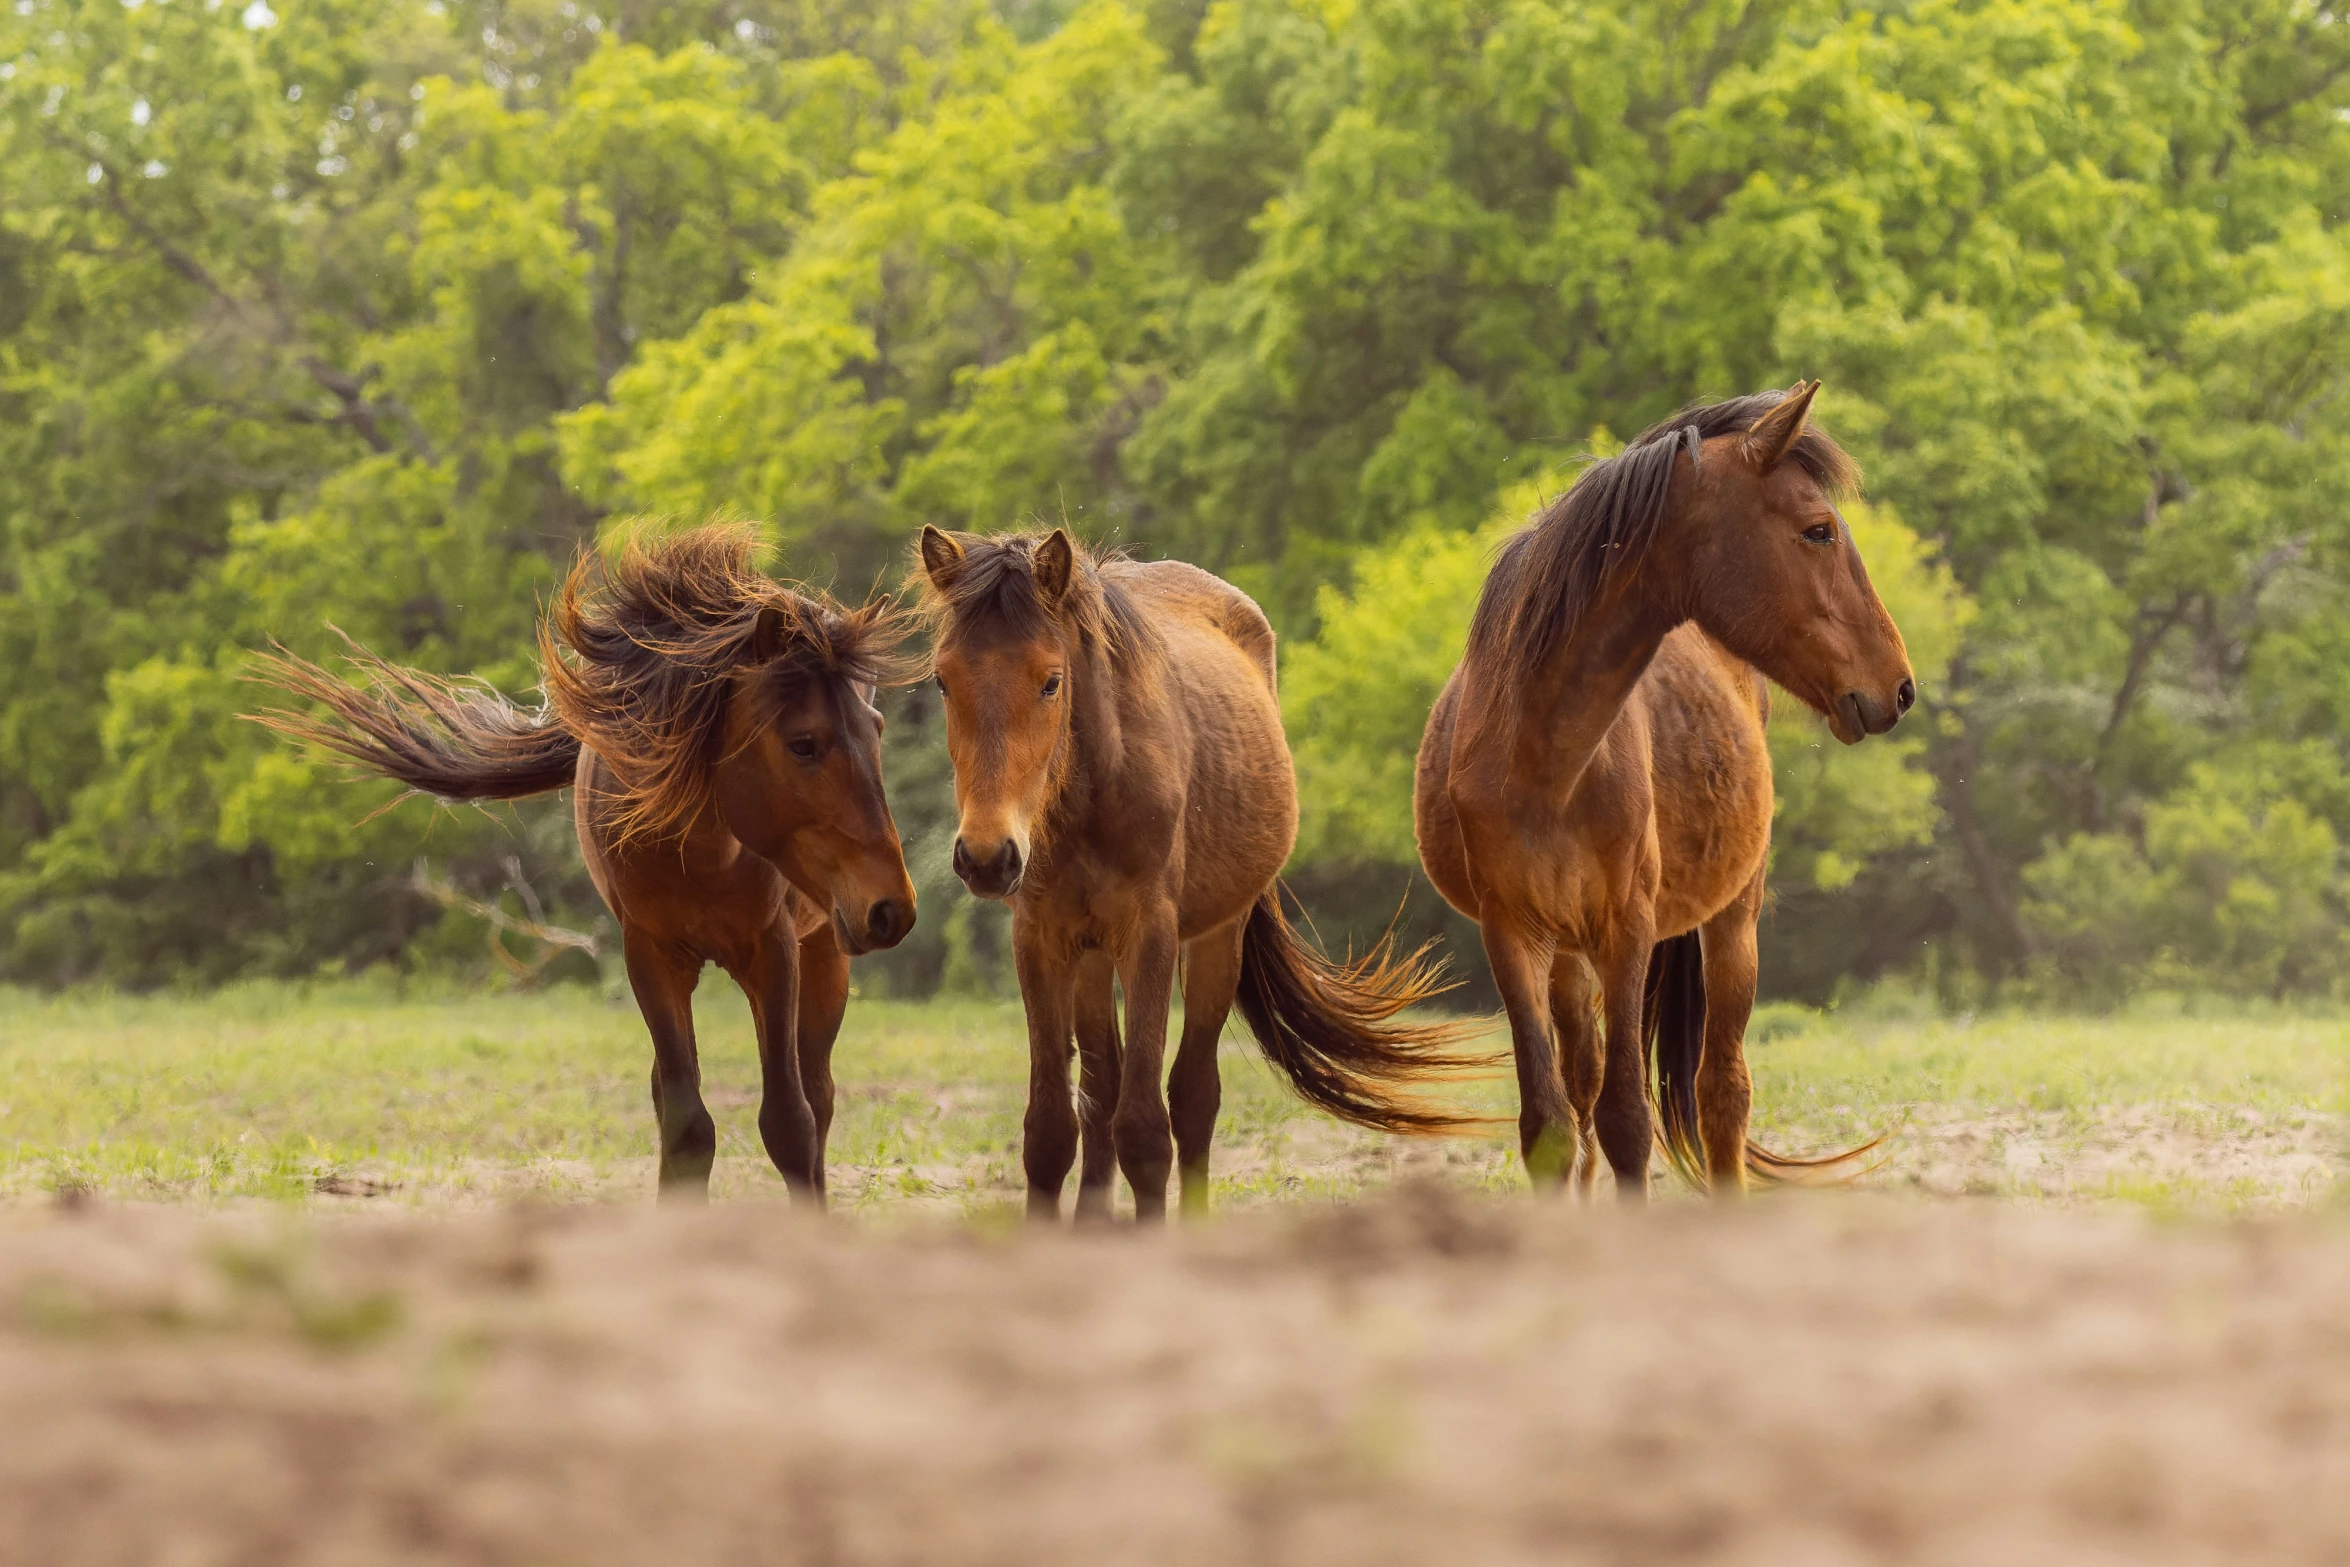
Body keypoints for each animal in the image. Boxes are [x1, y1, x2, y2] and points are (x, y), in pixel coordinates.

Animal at [254, 523, 916, 1202]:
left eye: (877, 728)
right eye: (803, 744)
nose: (891, 908)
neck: (699, 849)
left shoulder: (773, 949)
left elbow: (789, 1123)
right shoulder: (649, 954)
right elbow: (686, 1124)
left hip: (826, 950)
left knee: (820, 1096)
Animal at [911, 526, 1475, 1221]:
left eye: (1050, 681)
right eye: (943, 681)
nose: (988, 856)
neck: (1092, 792)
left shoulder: (1150, 935)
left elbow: (1146, 1130)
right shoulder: (1039, 939)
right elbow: (1050, 1131)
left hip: (1214, 942)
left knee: (1193, 1096)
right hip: (1090, 954)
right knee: (1101, 1089)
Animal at [1419, 380, 1917, 1202]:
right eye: (1817, 531)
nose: (1899, 686)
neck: (1543, 759)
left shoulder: (1628, 928)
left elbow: (1627, 1118)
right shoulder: (1511, 934)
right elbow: (1552, 1124)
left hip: (1732, 923)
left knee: (1721, 1092)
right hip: (1569, 954)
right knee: (1585, 1083)